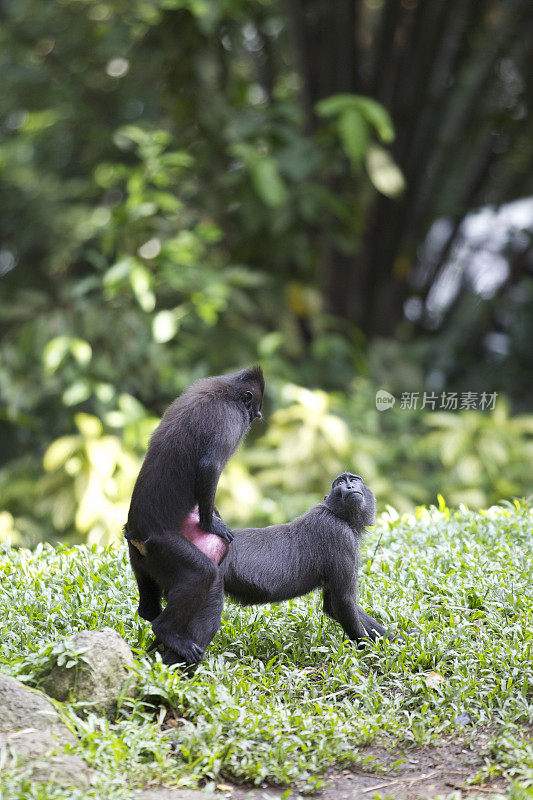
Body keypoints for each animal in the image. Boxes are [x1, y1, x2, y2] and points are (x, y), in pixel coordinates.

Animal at [125, 366, 266, 664]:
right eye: (253, 407)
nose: (258, 416)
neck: (227, 389)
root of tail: (136, 534)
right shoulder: (231, 417)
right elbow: (210, 466)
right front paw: (211, 523)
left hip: (141, 559)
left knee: (147, 607)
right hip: (165, 547)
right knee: (202, 574)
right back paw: (166, 631)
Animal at [166, 472, 390, 664]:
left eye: (354, 480)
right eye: (340, 483)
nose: (350, 486)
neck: (334, 514)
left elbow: (332, 605)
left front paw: (393, 640)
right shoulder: (339, 535)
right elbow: (343, 602)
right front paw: (370, 651)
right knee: (206, 623)